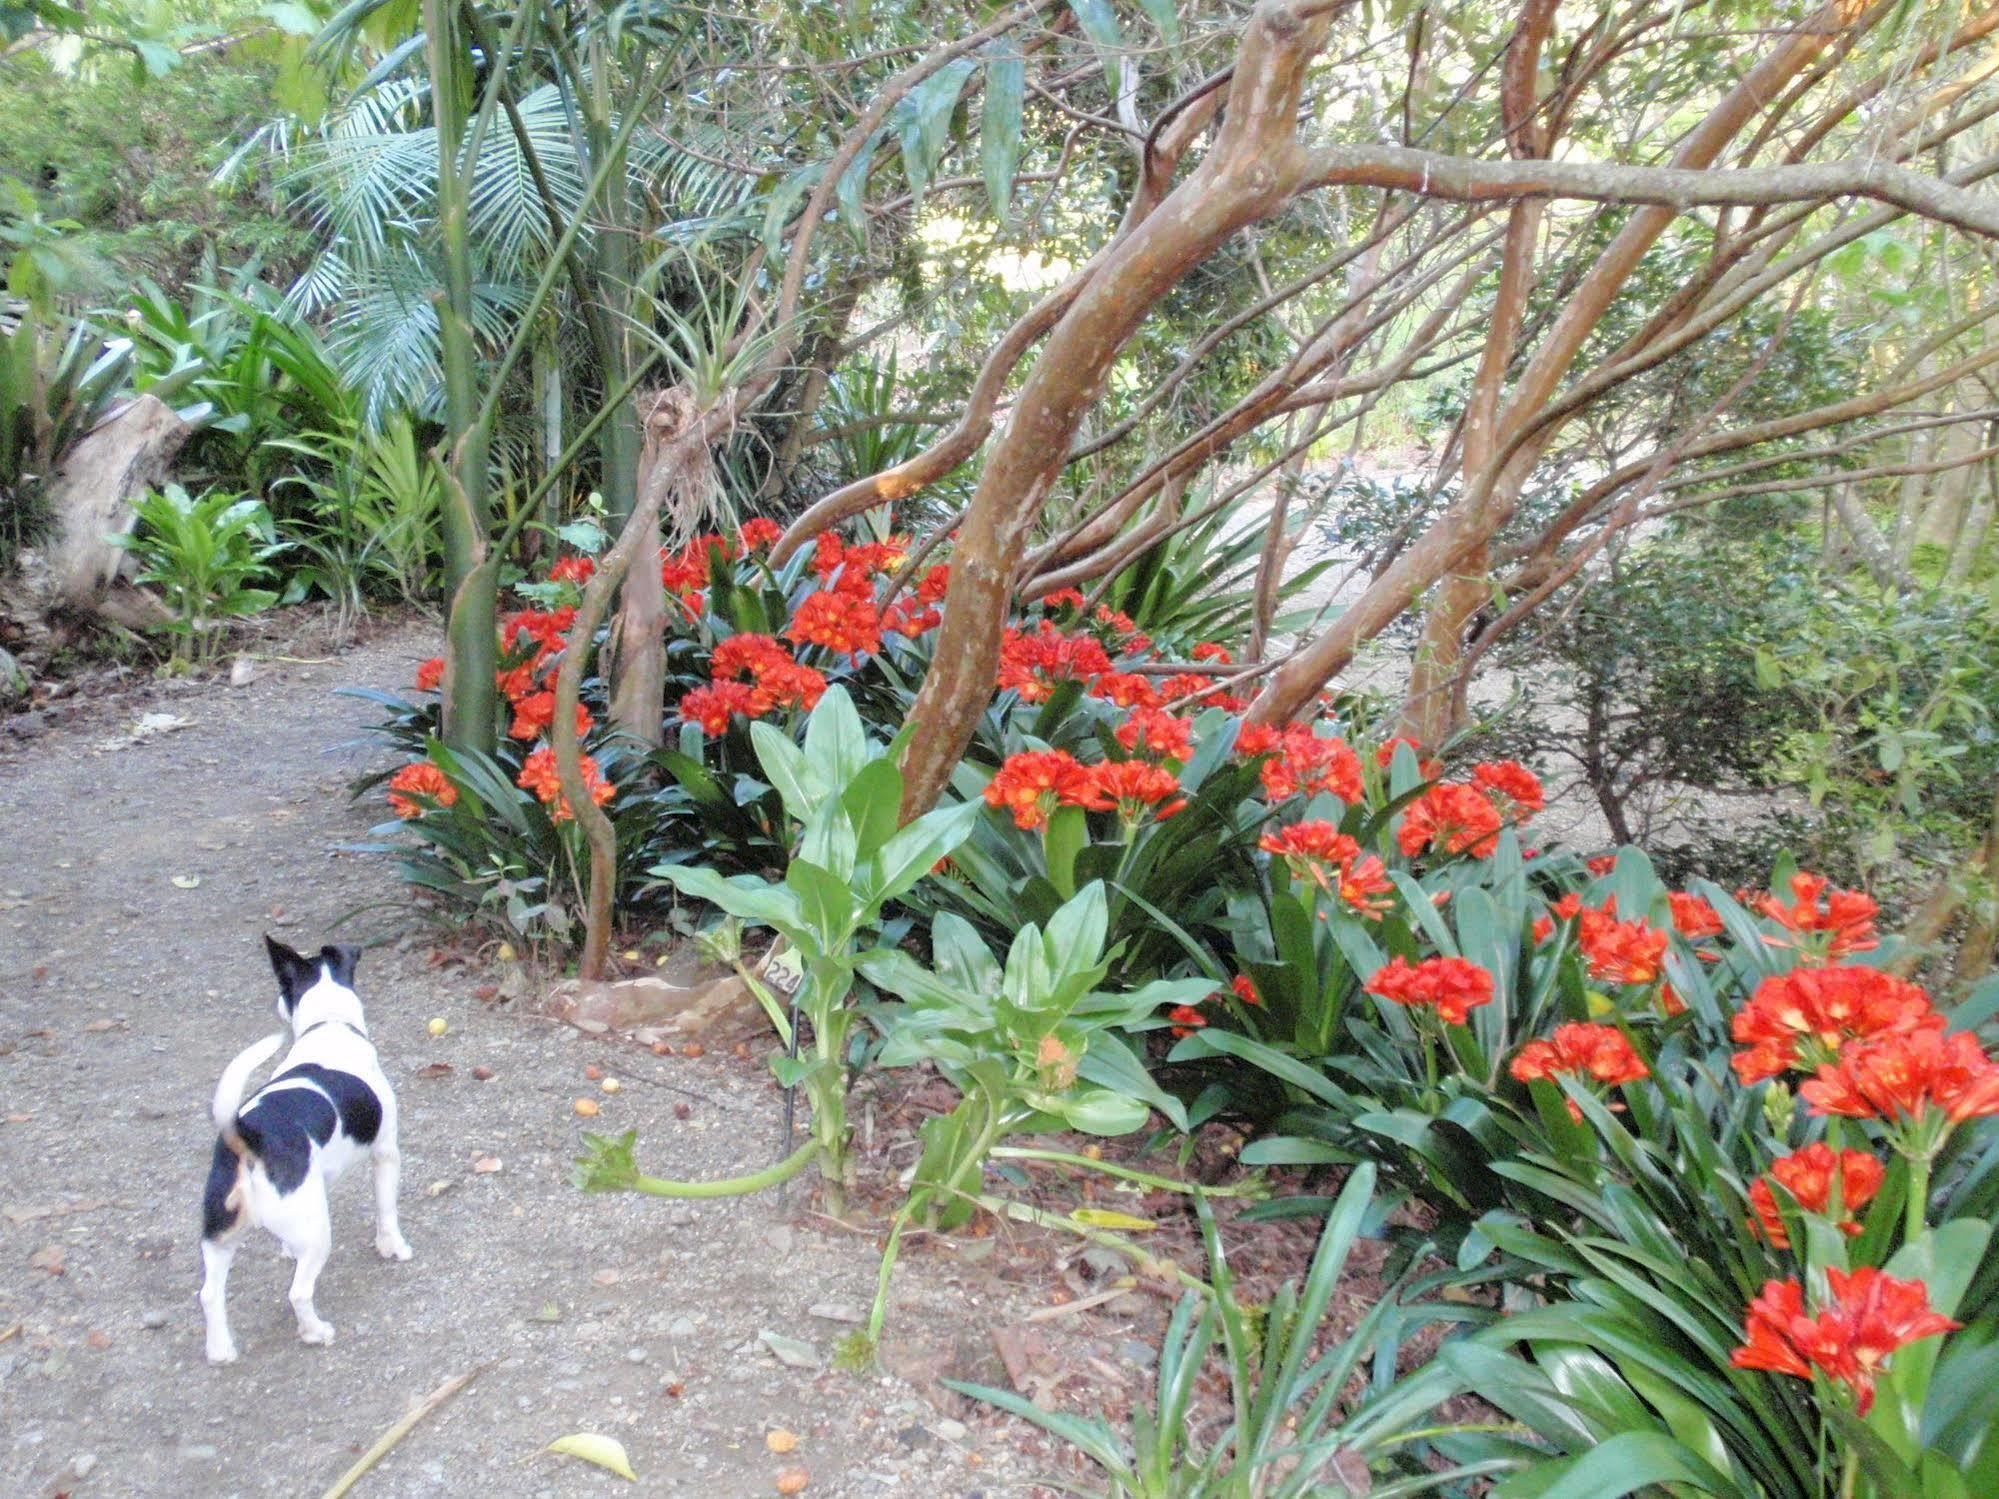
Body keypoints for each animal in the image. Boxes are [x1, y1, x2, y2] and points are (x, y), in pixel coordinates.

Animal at [198, 935, 409, 1367]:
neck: (329, 1024)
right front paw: (393, 1247)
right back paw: (315, 1332)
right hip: (317, 1237)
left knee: (209, 1294)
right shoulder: (386, 1152)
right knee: (298, 1292)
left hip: (219, 1235)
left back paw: (221, 1349)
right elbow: (386, 1210)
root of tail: (245, 1137)